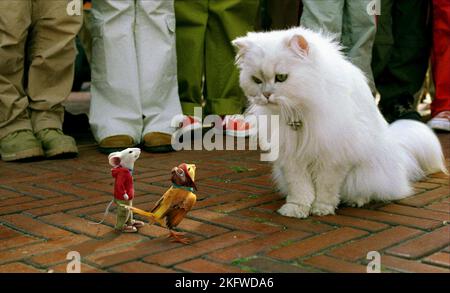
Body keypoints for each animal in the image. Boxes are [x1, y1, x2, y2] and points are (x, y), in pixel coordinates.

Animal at [232, 27, 446, 218]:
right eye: (256, 80)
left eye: (281, 77)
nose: (266, 95)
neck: (300, 110)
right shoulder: (292, 157)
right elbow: (300, 188)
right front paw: (296, 210)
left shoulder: (333, 158)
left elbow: (326, 187)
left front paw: (321, 209)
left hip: (366, 173)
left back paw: (357, 200)